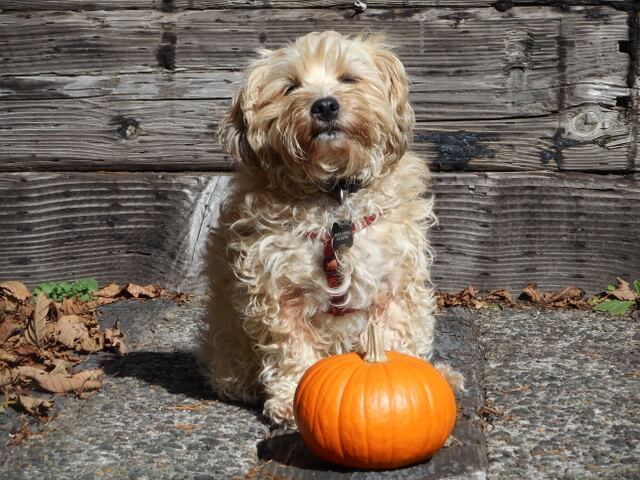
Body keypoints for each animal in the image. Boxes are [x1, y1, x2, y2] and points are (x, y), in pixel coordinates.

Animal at [198, 31, 462, 428]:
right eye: (290, 87)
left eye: (349, 78)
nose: (324, 106)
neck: (334, 200)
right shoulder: (279, 291)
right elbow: (292, 348)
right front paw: (291, 399)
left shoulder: (395, 284)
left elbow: (394, 337)